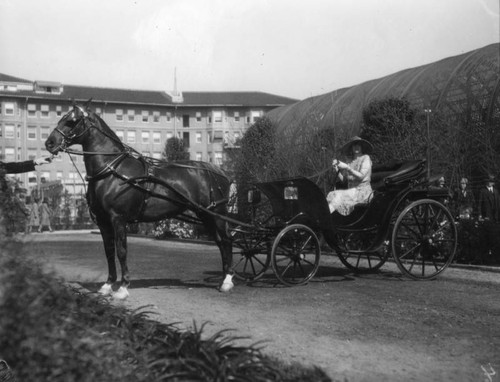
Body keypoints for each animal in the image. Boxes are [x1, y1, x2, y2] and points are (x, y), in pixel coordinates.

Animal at [46, 101, 235, 298]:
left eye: (72, 120)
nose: (50, 143)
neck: (113, 170)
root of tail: (221, 172)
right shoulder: (103, 222)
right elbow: (109, 251)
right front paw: (108, 284)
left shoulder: (118, 219)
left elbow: (121, 251)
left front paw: (123, 287)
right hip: (205, 215)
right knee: (220, 242)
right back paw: (223, 279)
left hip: (216, 213)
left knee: (227, 240)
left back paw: (227, 281)